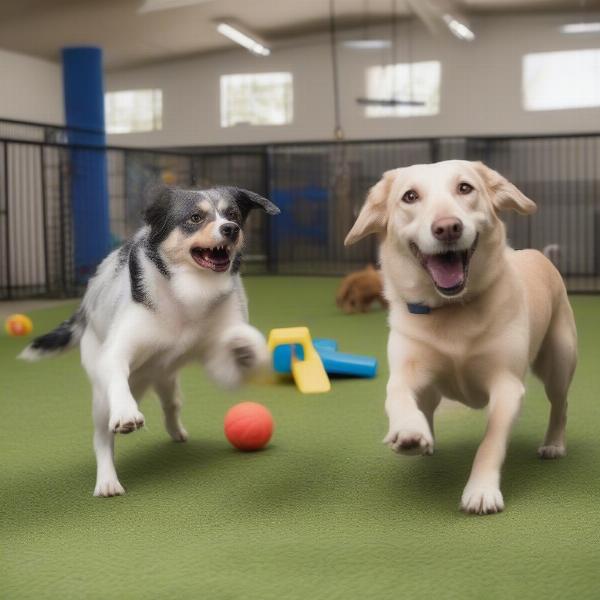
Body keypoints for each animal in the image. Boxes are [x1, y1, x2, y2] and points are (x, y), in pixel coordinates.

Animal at [19, 185, 280, 494]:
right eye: (195, 218)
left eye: (234, 215)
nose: (230, 229)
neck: (189, 294)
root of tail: (84, 307)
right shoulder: (116, 353)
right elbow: (117, 377)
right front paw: (126, 413)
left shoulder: (221, 363)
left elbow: (239, 346)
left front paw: (247, 344)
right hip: (102, 395)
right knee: (102, 438)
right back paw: (107, 480)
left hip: (164, 377)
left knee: (171, 404)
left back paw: (176, 431)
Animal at [346, 161, 576, 516]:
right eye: (409, 196)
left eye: (465, 188)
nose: (447, 228)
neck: (451, 309)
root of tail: (536, 254)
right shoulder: (406, 372)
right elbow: (397, 396)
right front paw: (409, 430)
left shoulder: (507, 387)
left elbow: (490, 443)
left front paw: (481, 491)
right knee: (427, 406)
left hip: (558, 363)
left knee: (560, 405)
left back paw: (553, 443)